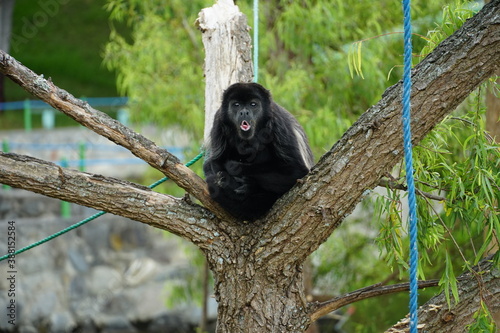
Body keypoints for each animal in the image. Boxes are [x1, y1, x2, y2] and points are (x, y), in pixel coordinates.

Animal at [202, 81, 312, 219]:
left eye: (253, 104)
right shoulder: (218, 121)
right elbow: (215, 162)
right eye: (236, 105)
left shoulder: (278, 121)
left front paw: (245, 180)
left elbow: (296, 170)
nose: (244, 112)